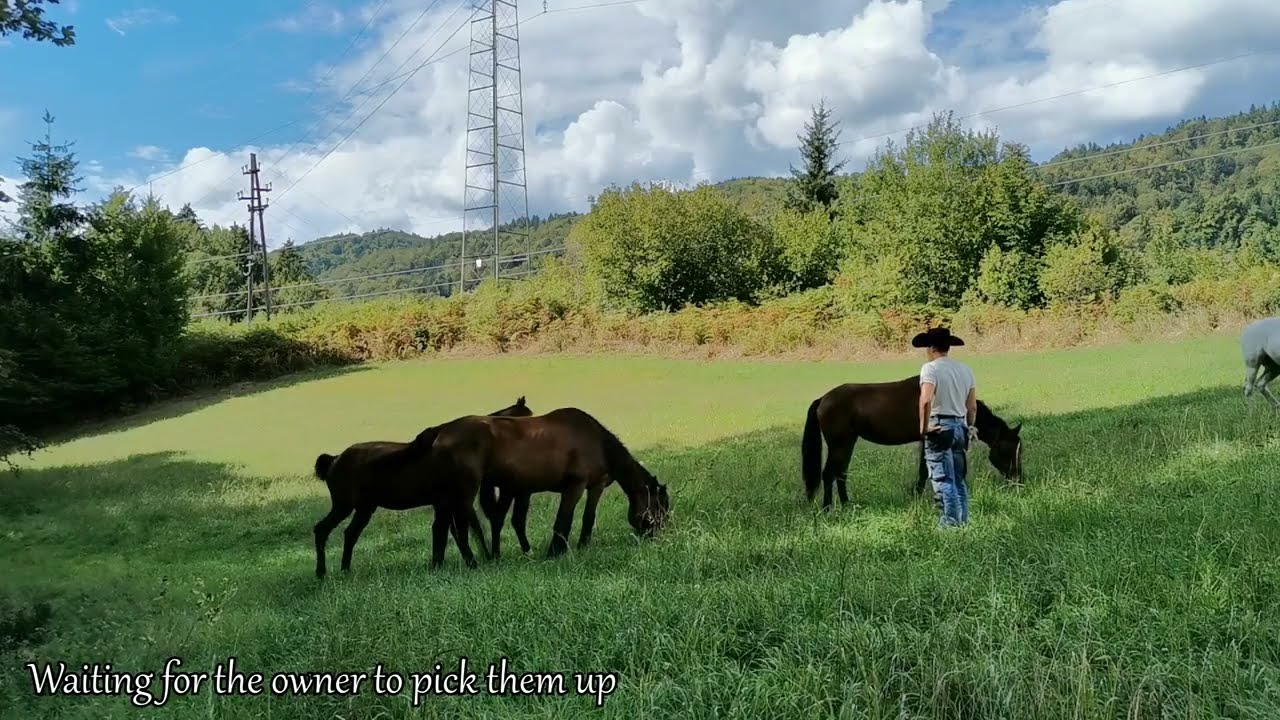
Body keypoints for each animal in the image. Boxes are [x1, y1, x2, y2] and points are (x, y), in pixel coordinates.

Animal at [310, 396, 533, 578]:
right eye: (527, 415)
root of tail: (334, 459)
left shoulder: (444, 504)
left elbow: (446, 531)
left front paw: (443, 563)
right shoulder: (458, 501)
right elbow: (468, 528)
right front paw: (478, 560)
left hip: (365, 508)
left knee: (350, 534)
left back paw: (345, 570)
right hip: (344, 505)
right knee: (322, 530)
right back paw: (321, 573)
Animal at [412, 407, 670, 559]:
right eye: (660, 507)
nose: (661, 536)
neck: (599, 443)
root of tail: (441, 431)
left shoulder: (594, 487)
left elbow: (588, 517)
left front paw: (581, 545)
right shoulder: (576, 486)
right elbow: (564, 519)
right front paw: (556, 551)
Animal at [800, 376, 1023, 511]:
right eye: (1007, 448)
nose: (1018, 479)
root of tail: (823, 399)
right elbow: (926, 470)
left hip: (847, 443)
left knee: (841, 473)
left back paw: (847, 504)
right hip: (839, 444)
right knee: (828, 474)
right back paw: (828, 509)